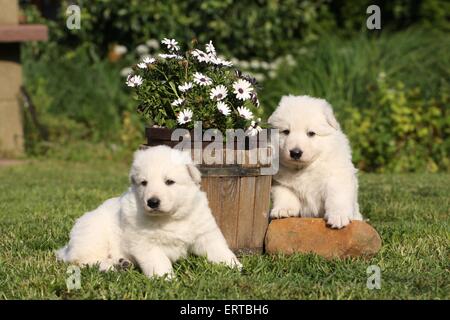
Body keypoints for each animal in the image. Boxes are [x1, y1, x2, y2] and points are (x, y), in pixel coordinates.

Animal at [57, 145, 241, 278]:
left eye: (169, 182)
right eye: (144, 183)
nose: (152, 202)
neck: (171, 218)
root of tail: (66, 249)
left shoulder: (205, 233)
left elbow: (220, 250)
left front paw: (235, 266)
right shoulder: (145, 243)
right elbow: (158, 262)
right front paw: (166, 279)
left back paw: (122, 263)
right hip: (94, 235)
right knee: (85, 261)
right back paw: (111, 267)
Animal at [268, 95, 362, 228]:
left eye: (311, 133)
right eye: (286, 131)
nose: (295, 153)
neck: (305, 168)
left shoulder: (337, 177)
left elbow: (337, 197)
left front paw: (338, 217)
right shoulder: (281, 182)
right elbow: (285, 195)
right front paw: (283, 210)